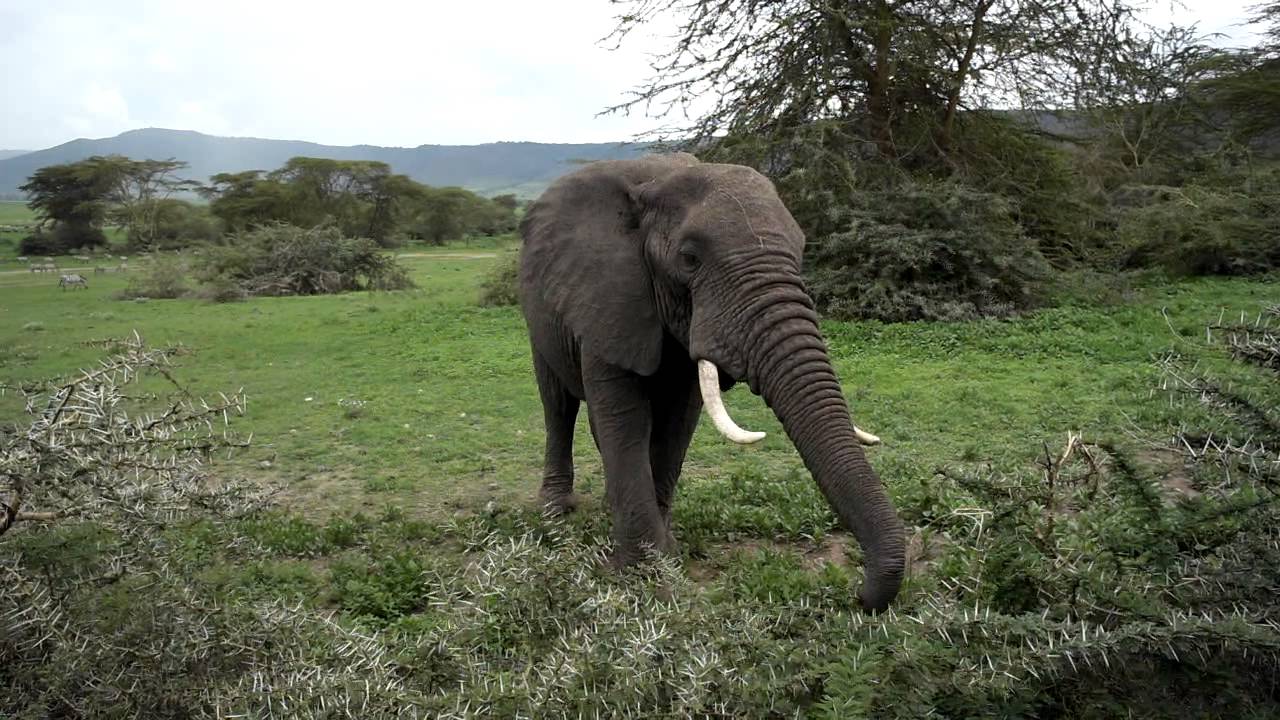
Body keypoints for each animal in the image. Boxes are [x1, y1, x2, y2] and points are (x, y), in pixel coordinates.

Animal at [518, 153, 906, 611]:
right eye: (689, 259)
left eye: (801, 249)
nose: (859, 594)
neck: (654, 184)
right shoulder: (608, 299)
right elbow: (625, 421)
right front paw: (644, 575)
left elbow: (677, 424)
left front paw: (666, 552)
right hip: (537, 314)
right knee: (558, 405)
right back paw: (555, 511)